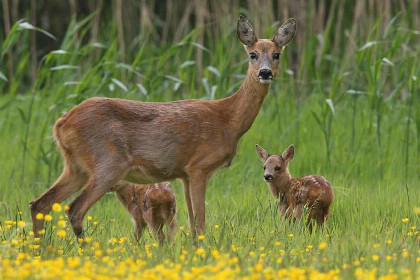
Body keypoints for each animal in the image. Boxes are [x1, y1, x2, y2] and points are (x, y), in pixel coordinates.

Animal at [29, 15, 296, 237]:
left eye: (277, 54)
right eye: (252, 54)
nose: (265, 73)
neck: (228, 120)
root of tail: (61, 123)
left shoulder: (185, 174)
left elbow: (192, 223)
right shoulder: (199, 167)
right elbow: (200, 223)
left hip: (75, 165)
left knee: (39, 204)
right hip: (108, 161)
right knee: (74, 209)